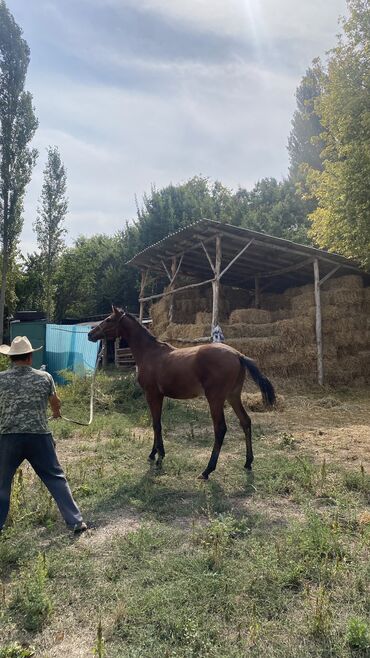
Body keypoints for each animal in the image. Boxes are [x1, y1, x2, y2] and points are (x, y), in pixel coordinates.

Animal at [89, 308, 274, 476]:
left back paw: (207, 470)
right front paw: (153, 453)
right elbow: (157, 422)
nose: (90, 334)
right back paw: (248, 462)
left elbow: (156, 424)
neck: (150, 353)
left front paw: (159, 457)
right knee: (245, 422)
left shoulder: (152, 394)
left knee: (220, 429)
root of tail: (238, 354)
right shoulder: (159, 396)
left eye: (109, 320)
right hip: (233, 396)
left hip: (215, 399)